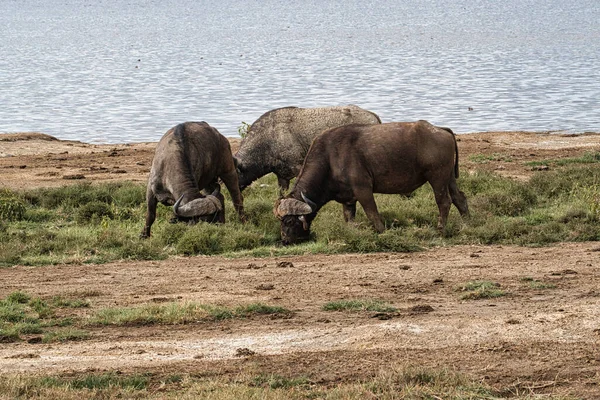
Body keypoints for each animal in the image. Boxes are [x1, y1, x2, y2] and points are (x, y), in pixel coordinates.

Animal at [274, 119, 472, 244]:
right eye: (280, 221)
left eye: (289, 221)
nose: (285, 240)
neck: (330, 157)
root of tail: (440, 129)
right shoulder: (348, 199)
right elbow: (349, 218)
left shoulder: (363, 190)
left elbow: (372, 213)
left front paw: (382, 232)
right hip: (449, 178)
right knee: (459, 198)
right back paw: (467, 224)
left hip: (437, 177)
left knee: (444, 201)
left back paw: (441, 230)